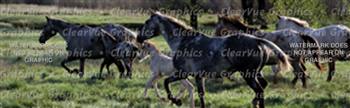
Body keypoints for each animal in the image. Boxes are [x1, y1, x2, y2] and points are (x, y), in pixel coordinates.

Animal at [137, 11, 292, 108]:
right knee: (262, 87)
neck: (183, 41)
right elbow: (201, 95)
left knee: (259, 90)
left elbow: (166, 82)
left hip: (248, 75)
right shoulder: (198, 76)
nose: (139, 38)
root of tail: (257, 40)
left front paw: (177, 101)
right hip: (255, 73)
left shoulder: (182, 73)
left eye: (146, 22)